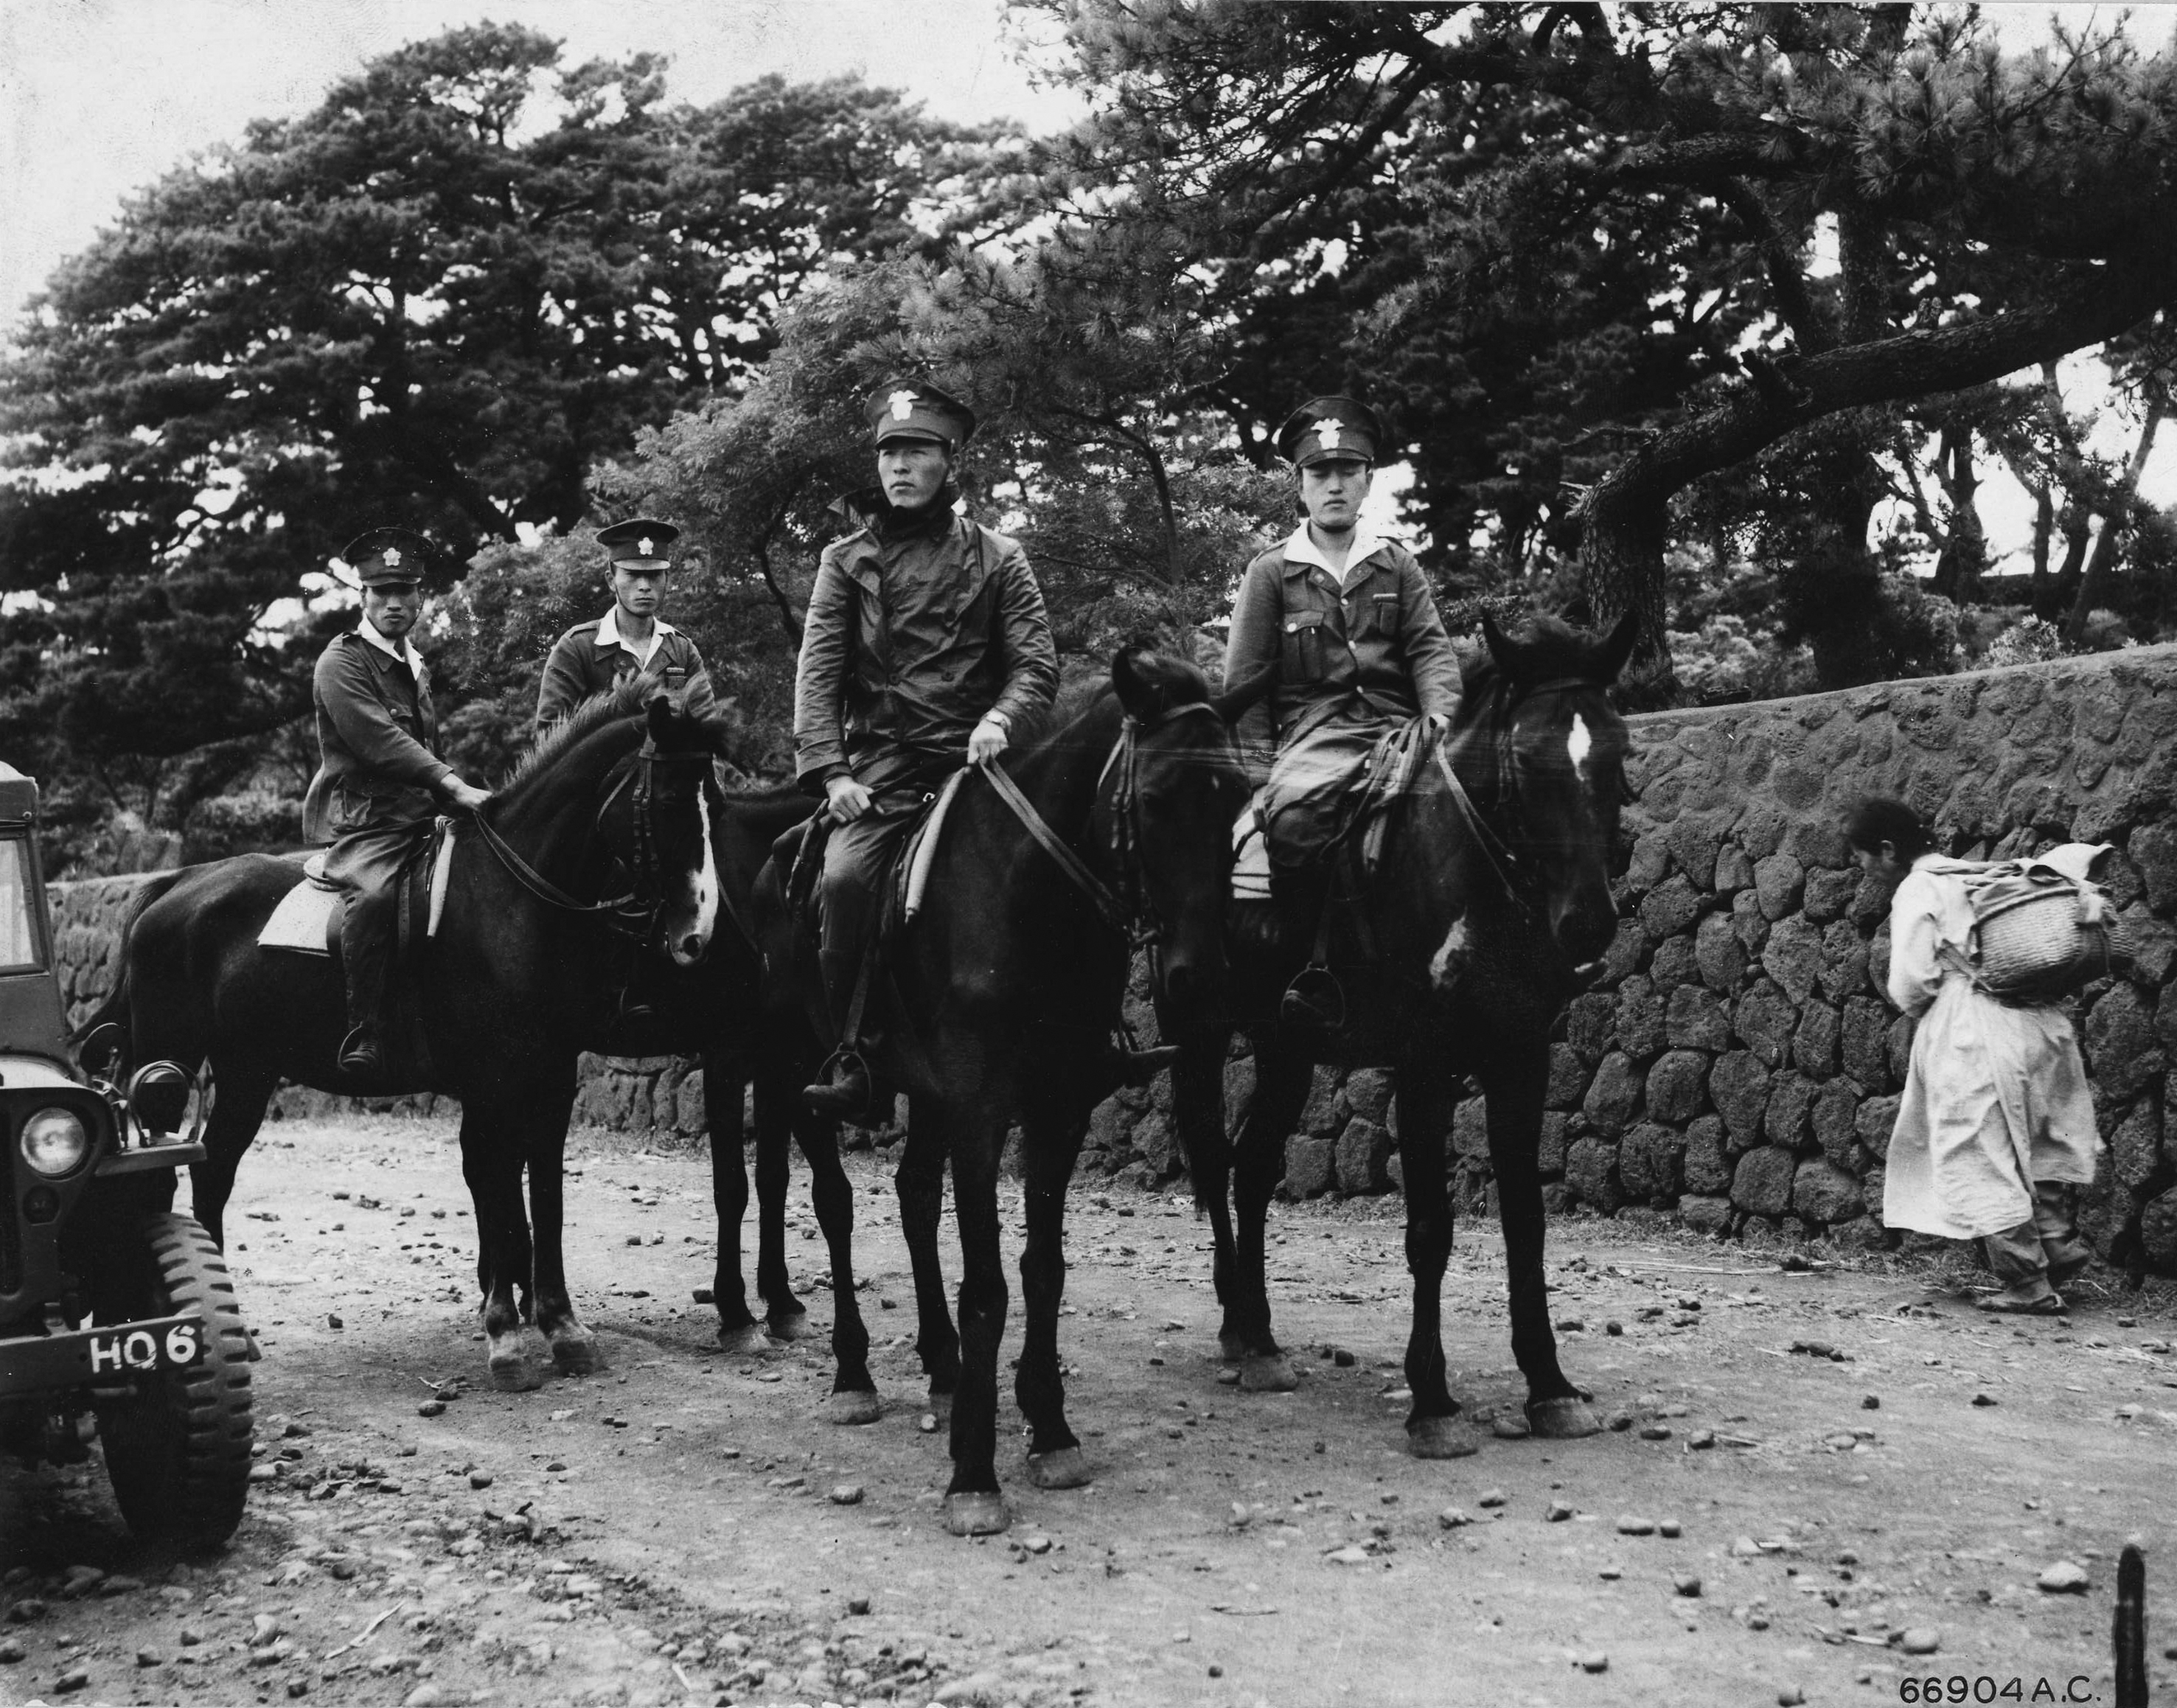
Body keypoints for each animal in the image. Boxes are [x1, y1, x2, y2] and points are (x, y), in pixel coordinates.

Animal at [83, 687, 722, 1392]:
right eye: (671, 801)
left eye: (715, 805)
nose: (697, 931)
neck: (510, 901)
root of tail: (176, 885)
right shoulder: (493, 1087)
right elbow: (499, 1193)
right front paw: (505, 1334)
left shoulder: (550, 1083)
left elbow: (544, 1196)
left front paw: (562, 1326)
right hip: (167, 1065)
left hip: (247, 1070)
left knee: (213, 1171)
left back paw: (233, 1331)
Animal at [757, 644, 1253, 1531]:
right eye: (1156, 798)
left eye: (1236, 801)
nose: (1203, 979)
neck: (1030, 901)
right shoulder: (982, 1113)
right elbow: (987, 1283)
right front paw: (973, 1471)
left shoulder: (1055, 1111)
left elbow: (1041, 1268)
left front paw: (1049, 1427)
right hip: (801, 1074)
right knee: (835, 1204)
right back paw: (854, 1374)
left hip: (926, 1098)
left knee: (915, 1196)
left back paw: (942, 1361)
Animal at [1175, 613, 1637, 1453]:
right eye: (1526, 757)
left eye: (1617, 752)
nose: (1588, 921)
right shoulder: (1425, 1066)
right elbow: (1428, 1229)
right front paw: (1432, 1400)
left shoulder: (1520, 1060)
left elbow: (1526, 1222)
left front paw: (1549, 1386)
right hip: (1199, 1034)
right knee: (1219, 1158)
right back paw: (1241, 1329)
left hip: (1286, 1047)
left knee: (1252, 1169)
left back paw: (1255, 1336)